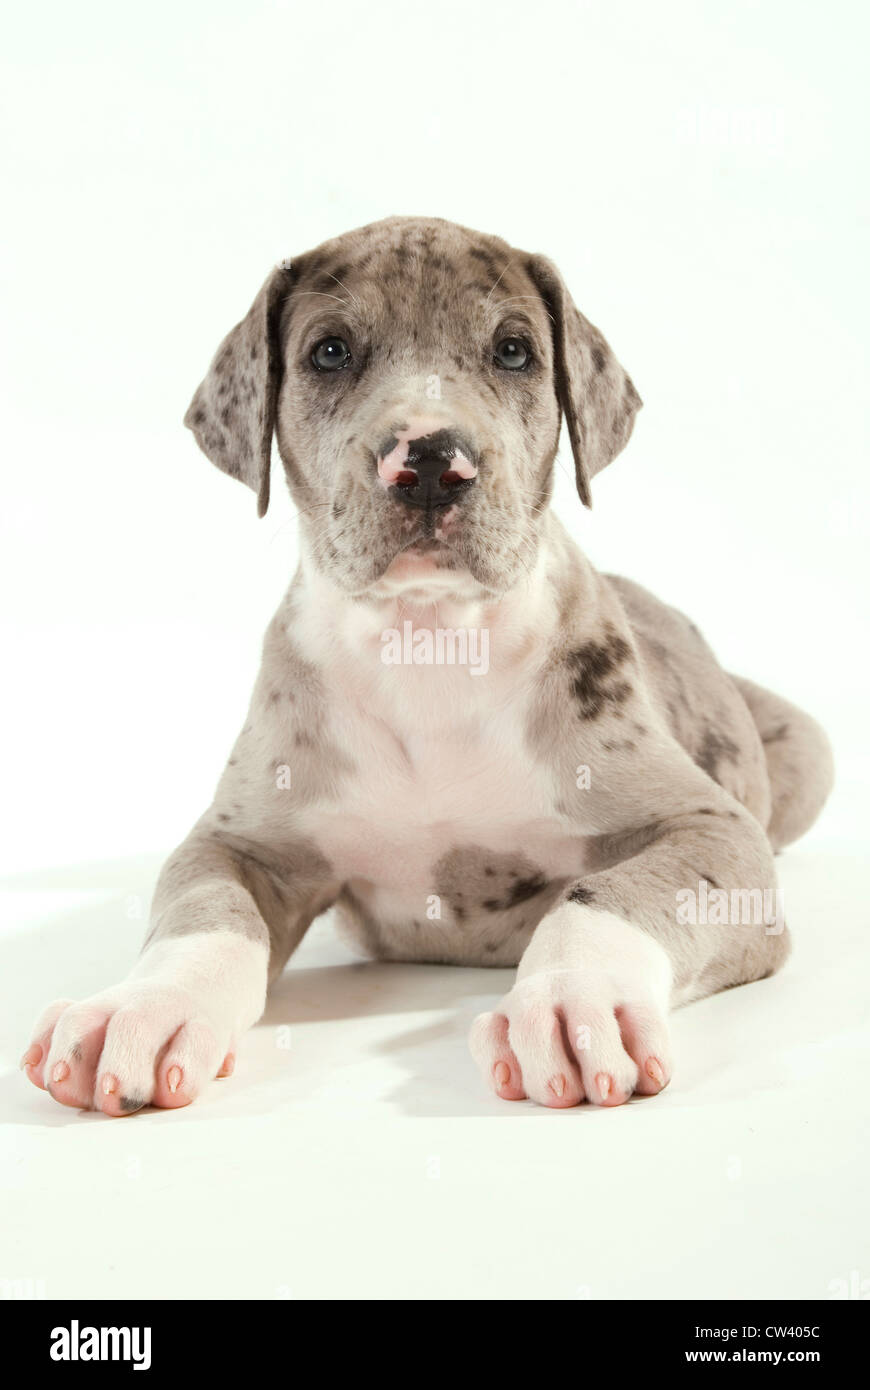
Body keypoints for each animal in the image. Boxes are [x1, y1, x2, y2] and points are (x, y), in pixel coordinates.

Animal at [23, 211, 828, 1112]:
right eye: (328, 351)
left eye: (514, 350)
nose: (434, 461)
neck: (429, 643)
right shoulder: (237, 842)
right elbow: (203, 910)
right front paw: (145, 1004)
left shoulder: (711, 830)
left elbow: (607, 894)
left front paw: (575, 998)